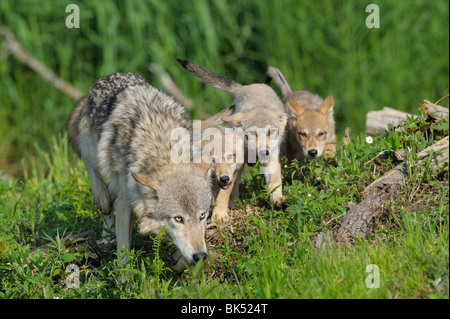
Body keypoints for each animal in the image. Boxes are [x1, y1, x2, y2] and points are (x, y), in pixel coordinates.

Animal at [65, 72, 213, 268]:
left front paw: (182, 264)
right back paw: (102, 199)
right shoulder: (125, 202)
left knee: (111, 195)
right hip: (93, 149)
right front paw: (124, 276)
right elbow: (123, 253)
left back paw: (106, 236)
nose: (200, 256)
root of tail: (109, 75)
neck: (164, 150)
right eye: (178, 219)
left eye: (202, 216)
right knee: (91, 166)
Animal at [178, 59, 290, 208]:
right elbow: (232, 183)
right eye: (252, 133)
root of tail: (248, 86)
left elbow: (275, 181)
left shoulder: (271, 154)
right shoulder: (239, 160)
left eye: (270, 132)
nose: (263, 152)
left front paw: (278, 199)